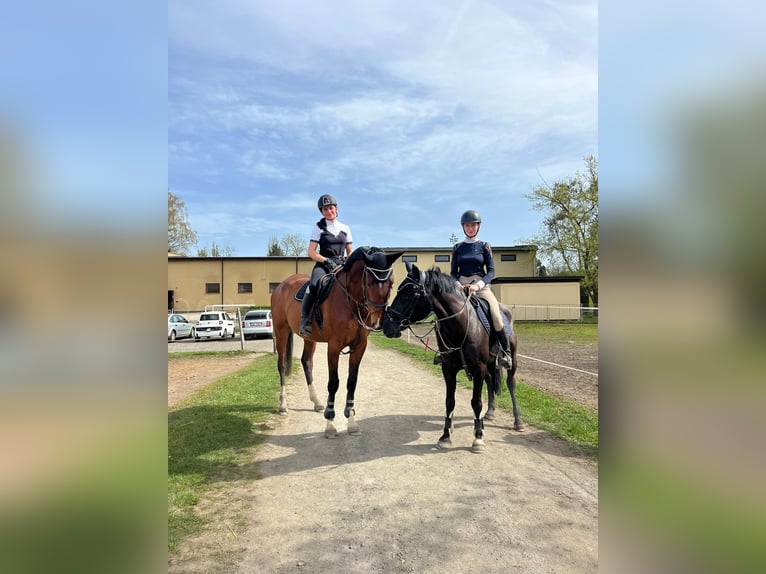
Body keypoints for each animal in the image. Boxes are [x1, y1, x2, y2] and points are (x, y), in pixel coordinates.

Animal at [270, 245, 404, 438]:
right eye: (369, 283)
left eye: (391, 283)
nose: (378, 321)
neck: (350, 301)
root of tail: (281, 285)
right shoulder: (334, 346)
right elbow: (334, 383)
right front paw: (330, 423)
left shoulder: (359, 346)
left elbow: (352, 382)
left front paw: (352, 421)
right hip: (281, 331)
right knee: (281, 365)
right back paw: (283, 405)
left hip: (309, 338)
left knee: (306, 361)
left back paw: (317, 402)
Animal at [382, 262, 524, 454]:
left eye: (410, 292)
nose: (386, 326)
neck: (461, 324)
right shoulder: (448, 368)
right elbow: (449, 402)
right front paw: (445, 436)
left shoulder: (478, 368)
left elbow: (476, 402)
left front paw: (478, 439)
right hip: (488, 364)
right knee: (490, 381)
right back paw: (489, 413)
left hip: (511, 361)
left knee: (511, 384)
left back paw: (518, 421)